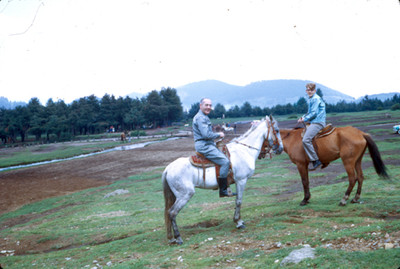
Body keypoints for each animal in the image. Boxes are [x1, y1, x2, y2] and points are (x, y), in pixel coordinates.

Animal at [161, 114, 282, 244]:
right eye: (277, 130)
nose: (280, 148)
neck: (244, 151)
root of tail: (168, 168)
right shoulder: (241, 180)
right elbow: (239, 201)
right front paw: (238, 222)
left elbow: (237, 201)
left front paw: (238, 220)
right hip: (185, 195)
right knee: (172, 213)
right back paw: (178, 237)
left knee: (169, 213)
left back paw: (171, 238)